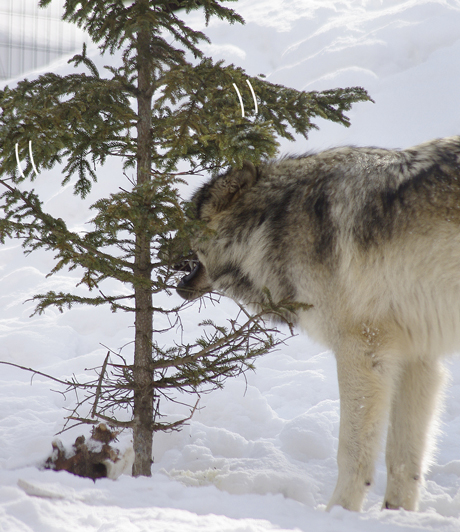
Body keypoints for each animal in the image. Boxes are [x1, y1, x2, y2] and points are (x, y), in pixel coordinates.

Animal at [177, 137, 460, 512]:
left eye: (186, 222)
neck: (270, 227)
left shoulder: (362, 350)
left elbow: (352, 454)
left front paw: (338, 512)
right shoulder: (418, 359)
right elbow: (403, 462)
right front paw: (396, 516)